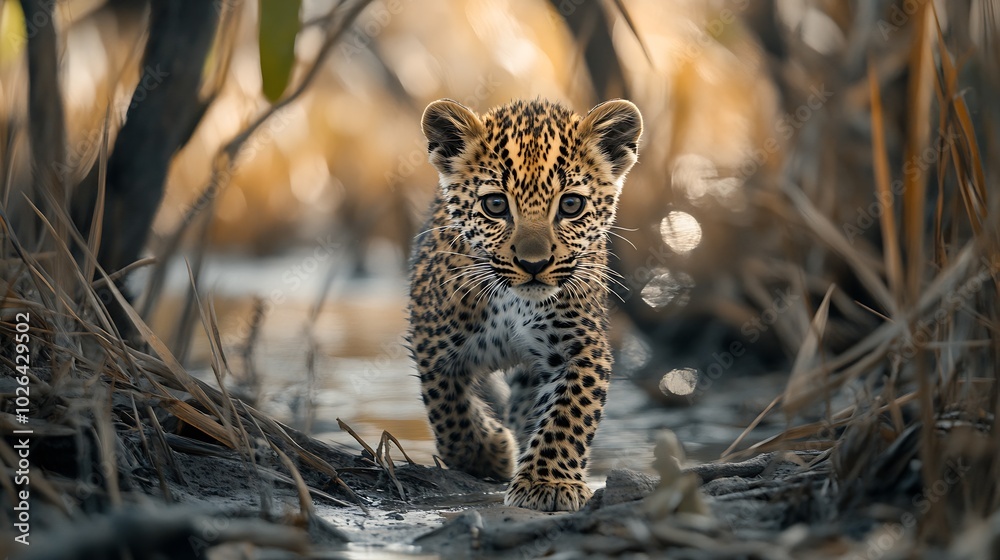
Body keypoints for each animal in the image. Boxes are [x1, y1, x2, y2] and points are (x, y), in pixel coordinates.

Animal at [407, 97, 642, 512]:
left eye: (571, 204)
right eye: (495, 204)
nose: (534, 264)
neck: (513, 304)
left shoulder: (581, 347)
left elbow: (569, 414)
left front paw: (547, 482)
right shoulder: (432, 343)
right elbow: (447, 409)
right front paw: (489, 453)